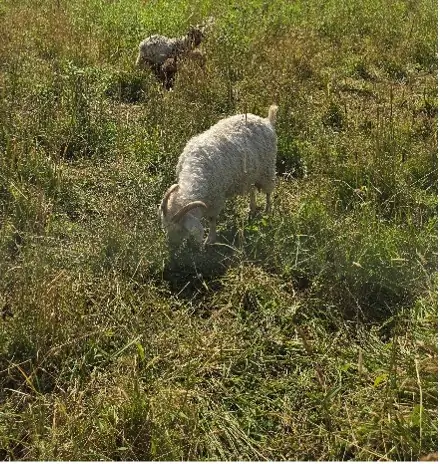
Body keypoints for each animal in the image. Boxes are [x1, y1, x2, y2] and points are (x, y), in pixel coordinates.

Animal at [158, 104, 278, 246]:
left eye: (180, 230)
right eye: (165, 226)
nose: (172, 246)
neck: (196, 167)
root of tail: (266, 121)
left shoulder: (216, 199)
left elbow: (212, 219)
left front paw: (210, 239)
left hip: (267, 168)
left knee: (268, 192)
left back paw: (267, 211)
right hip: (250, 174)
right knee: (252, 189)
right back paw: (252, 209)